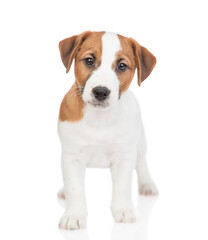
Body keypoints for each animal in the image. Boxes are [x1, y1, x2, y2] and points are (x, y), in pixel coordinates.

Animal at [57, 31, 158, 230]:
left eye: (122, 66)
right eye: (89, 60)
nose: (101, 92)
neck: (100, 118)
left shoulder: (124, 157)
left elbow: (122, 186)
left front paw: (124, 210)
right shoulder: (71, 157)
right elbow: (75, 188)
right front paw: (74, 215)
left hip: (140, 142)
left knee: (141, 162)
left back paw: (147, 184)